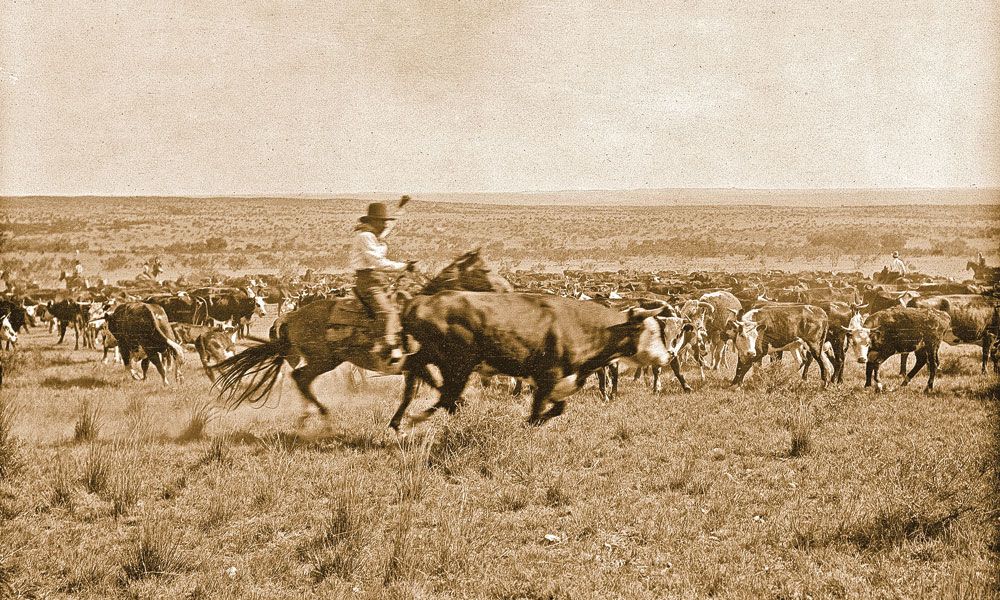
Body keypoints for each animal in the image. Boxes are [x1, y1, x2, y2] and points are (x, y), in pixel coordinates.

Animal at [390, 292, 673, 429]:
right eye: (652, 331)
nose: (668, 355)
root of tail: (418, 302)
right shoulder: (548, 376)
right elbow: (539, 410)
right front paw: (528, 424)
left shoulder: (553, 381)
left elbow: (559, 407)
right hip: (458, 363)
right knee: (445, 393)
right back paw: (418, 417)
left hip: (429, 356)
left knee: (417, 381)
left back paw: (400, 422)